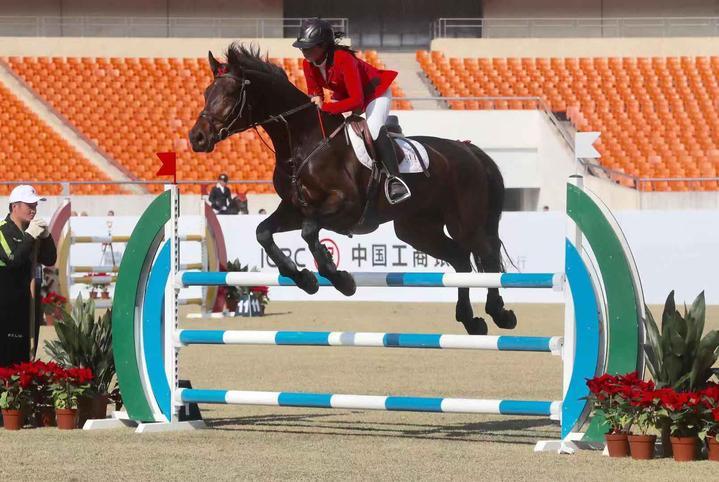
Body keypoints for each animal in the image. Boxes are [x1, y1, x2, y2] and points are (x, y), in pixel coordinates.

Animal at [188, 44, 516, 336]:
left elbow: (309, 231)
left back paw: (500, 314)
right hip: (416, 228)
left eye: (229, 94)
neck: (303, 142)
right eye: (205, 93)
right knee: (460, 258)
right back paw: (471, 320)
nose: (196, 138)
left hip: (465, 222)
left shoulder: (344, 208)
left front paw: (339, 278)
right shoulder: (295, 209)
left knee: (486, 256)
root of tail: (470, 150)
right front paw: (303, 278)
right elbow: (263, 233)